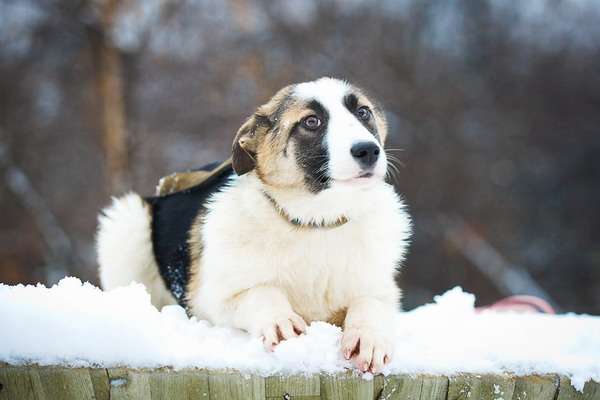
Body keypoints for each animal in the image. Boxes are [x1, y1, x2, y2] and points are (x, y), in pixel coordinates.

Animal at [96, 77, 412, 372]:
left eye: (363, 112)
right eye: (311, 121)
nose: (368, 150)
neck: (315, 222)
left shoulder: (382, 291)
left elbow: (371, 302)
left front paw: (368, 337)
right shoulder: (211, 299)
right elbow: (260, 292)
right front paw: (279, 319)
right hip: (127, 222)